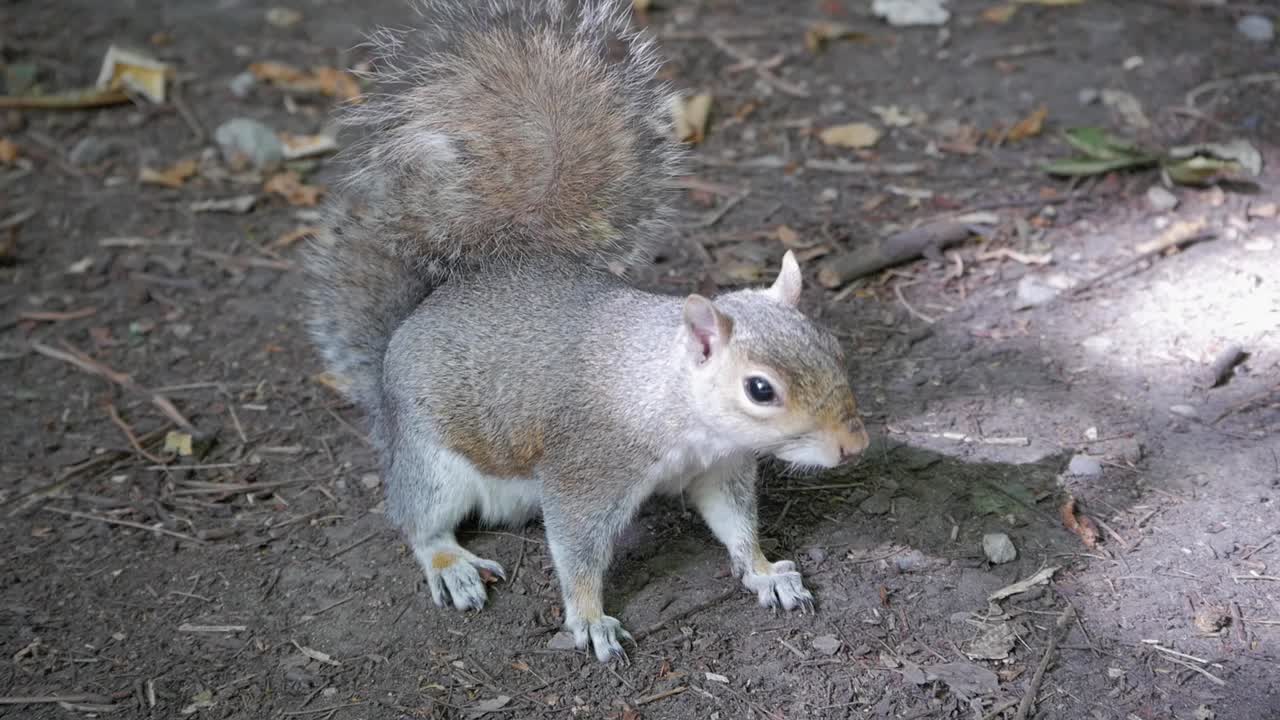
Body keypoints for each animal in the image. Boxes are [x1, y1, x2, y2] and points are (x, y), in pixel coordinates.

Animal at [305, 0, 869, 662]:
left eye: (833, 347)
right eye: (761, 390)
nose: (854, 446)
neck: (668, 396)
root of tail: (405, 329)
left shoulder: (719, 465)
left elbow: (734, 521)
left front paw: (763, 571)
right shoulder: (588, 470)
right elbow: (577, 548)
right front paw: (590, 618)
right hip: (429, 456)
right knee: (419, 519)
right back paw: (450, 563)